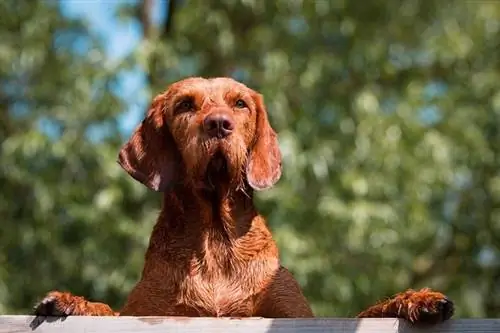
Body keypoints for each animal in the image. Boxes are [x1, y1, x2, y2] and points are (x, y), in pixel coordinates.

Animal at [33, 76, 456, 322]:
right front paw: (75, 301)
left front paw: (415, 299)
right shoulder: (146, 311)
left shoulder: (294, 315)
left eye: (240, 103)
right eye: (185, 105)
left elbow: (368, 309)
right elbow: (110, 310)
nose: (219, 124)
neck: (216, 238)